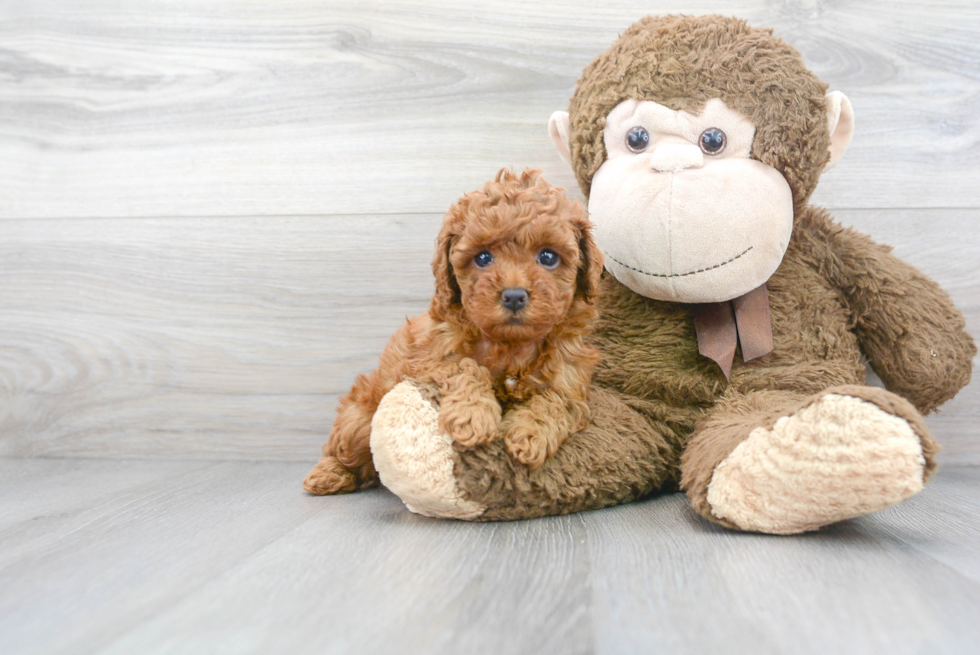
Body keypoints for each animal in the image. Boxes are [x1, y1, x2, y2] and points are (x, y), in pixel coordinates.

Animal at [302, 167, 600, 494]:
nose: (513, 296)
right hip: (358, 419)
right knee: (344, 447)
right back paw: (329, 474)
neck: (511, 344)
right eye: (483, 258)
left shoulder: (569, 378)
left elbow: (554, 402)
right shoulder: (431, 357)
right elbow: (466, 368)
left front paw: (528, 433)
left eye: (548, 257)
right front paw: (472, 416)